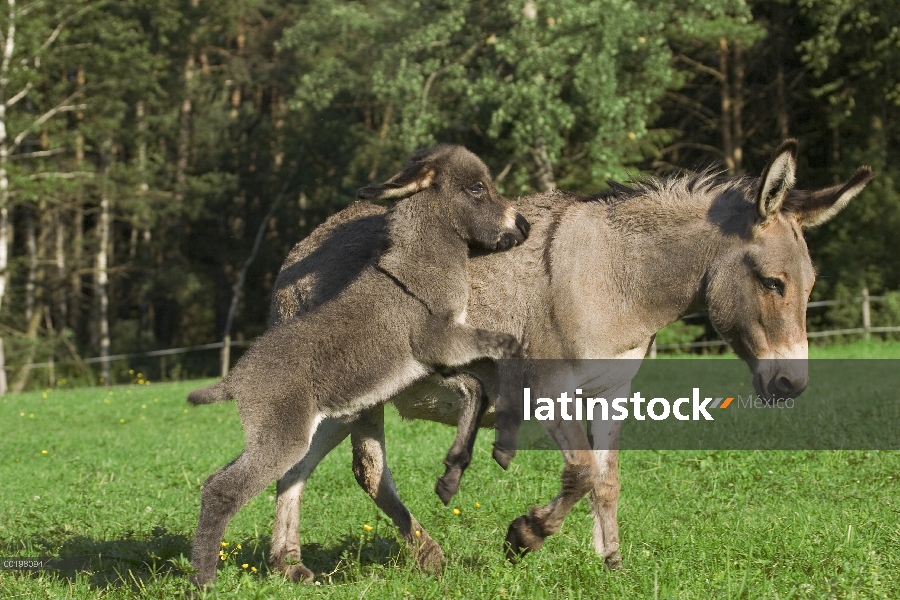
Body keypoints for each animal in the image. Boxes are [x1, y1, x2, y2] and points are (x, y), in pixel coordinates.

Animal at [189, 145, 528, 584]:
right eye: (477, 188)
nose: (524, 225)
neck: (420, 266)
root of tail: (234, 379)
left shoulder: (437, 361)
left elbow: (476, 388)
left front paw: (453, 476)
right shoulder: (441, 339)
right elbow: (506, 347)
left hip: (282, 432)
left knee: (224, 479)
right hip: (285, 435)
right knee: (224, 488)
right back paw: (204, 580)